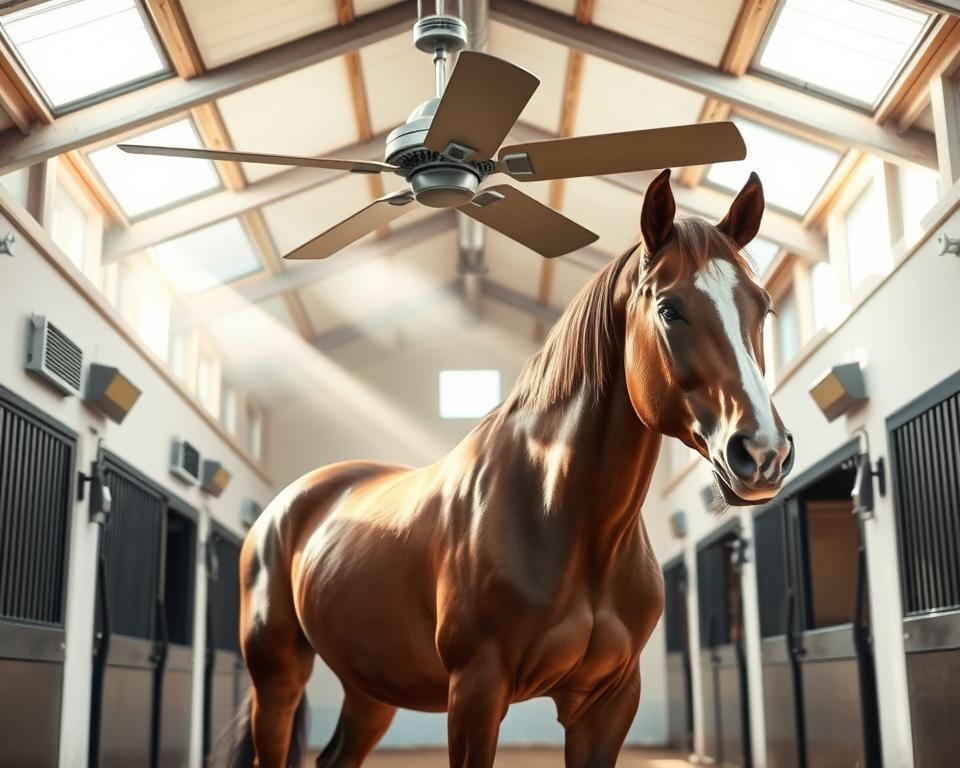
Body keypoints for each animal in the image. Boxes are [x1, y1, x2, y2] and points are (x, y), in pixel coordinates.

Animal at [217, 168, 794, 768]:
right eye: (669, 309)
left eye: (763, 307)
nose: (763, 452)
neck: (564, 518)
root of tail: (285, 506)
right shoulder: (476, 689)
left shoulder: (608, 702)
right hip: (278, 677)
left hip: (372, 685)